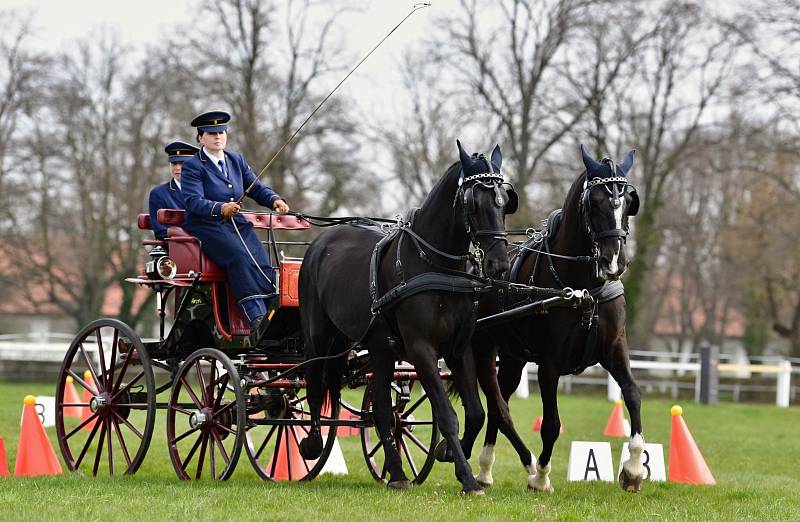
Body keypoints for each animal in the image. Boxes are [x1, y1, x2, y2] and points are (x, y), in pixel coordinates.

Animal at [298, 140, 512, 490]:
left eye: (505, 201)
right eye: (474, 202)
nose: (500, 263)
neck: (436, 267)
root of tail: (320, 242)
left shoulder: (458, 349)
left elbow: (476, 413)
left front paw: (449, 455)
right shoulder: (421, 348)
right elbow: (446, 415)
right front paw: (467, 478)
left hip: (379, 348)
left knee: (383, 411)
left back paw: (397, 473)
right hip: (319, 337)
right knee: (316, 385)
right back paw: (313, 444)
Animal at [462, 145, 644, 492]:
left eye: (629, 200)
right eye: (594, 201)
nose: (614, 260)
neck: (585, 289)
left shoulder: (614, 348)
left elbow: (632, 394)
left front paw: (633, 469)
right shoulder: (550, 364)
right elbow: (551, 424)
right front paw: (541, 476)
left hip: (513, 357)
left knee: (499, 401)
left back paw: (484, 469)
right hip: (482, 348)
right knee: (495, 403)